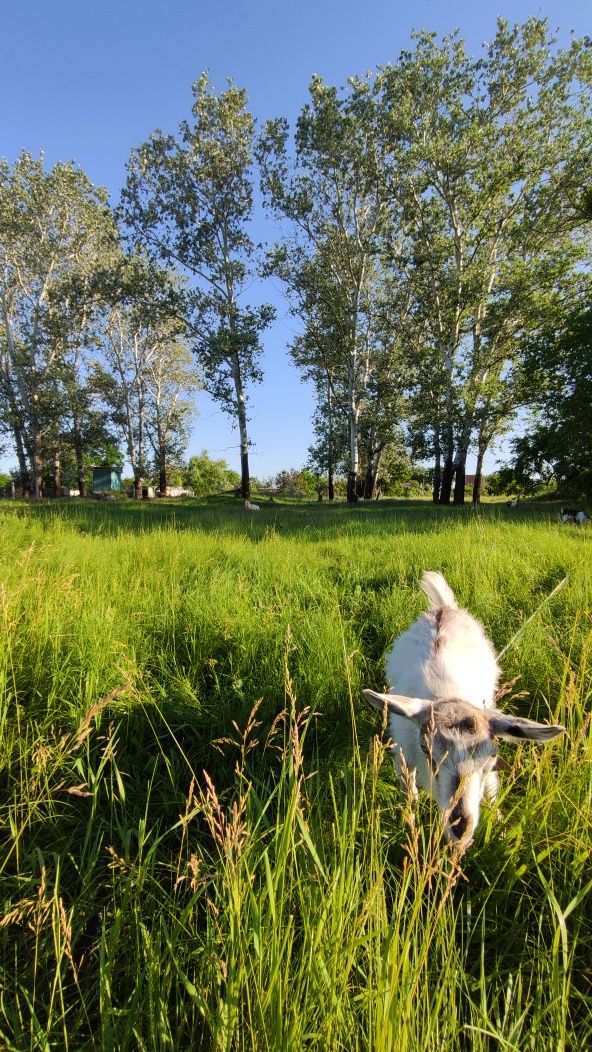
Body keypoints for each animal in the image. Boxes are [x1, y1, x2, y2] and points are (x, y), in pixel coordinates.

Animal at [365, 572, 563, 850]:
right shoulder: (404, 754)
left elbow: (491, 794)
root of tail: (444, 609)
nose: (461, 828)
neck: (448, 694)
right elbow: (409, 793)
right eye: (427, 750)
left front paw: (500, 831)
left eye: (492, 755)